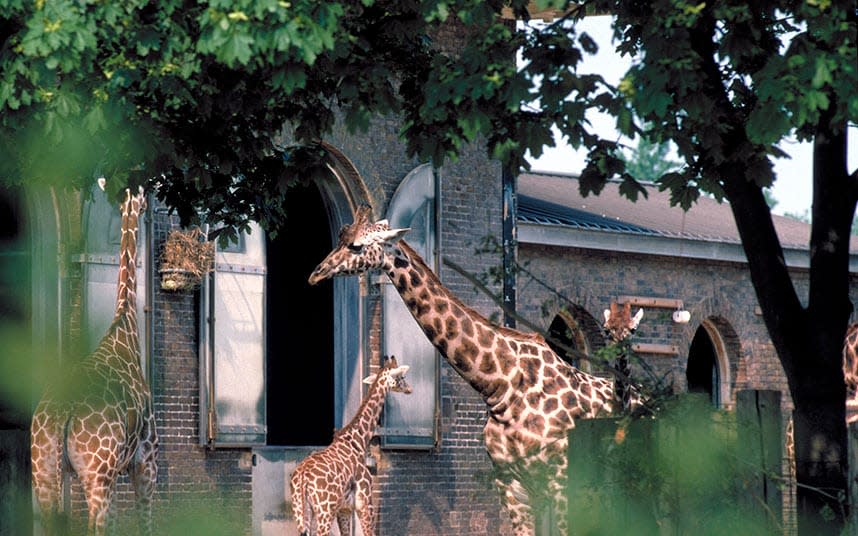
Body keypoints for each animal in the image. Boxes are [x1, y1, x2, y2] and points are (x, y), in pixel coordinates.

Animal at [30, 187, 157, 536]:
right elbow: (146, 522)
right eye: (142, 197)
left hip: (44, 473)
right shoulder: (146, 458)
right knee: (94, 526)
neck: (125, 327)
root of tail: (61, 414)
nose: (146, 205)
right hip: (97, 474)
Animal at [290, 356, 412, 536]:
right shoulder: (365, 504)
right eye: (401, 377)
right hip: (325, 510)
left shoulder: (344, 509)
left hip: (301, 510)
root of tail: (302, 477)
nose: (410, 388)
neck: (359, 440)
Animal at [308, 205, 640, 536]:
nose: (316, 273)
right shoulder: (511, 482)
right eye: (341, 238)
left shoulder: (560, 479)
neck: (502, 385)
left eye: (356, 246)